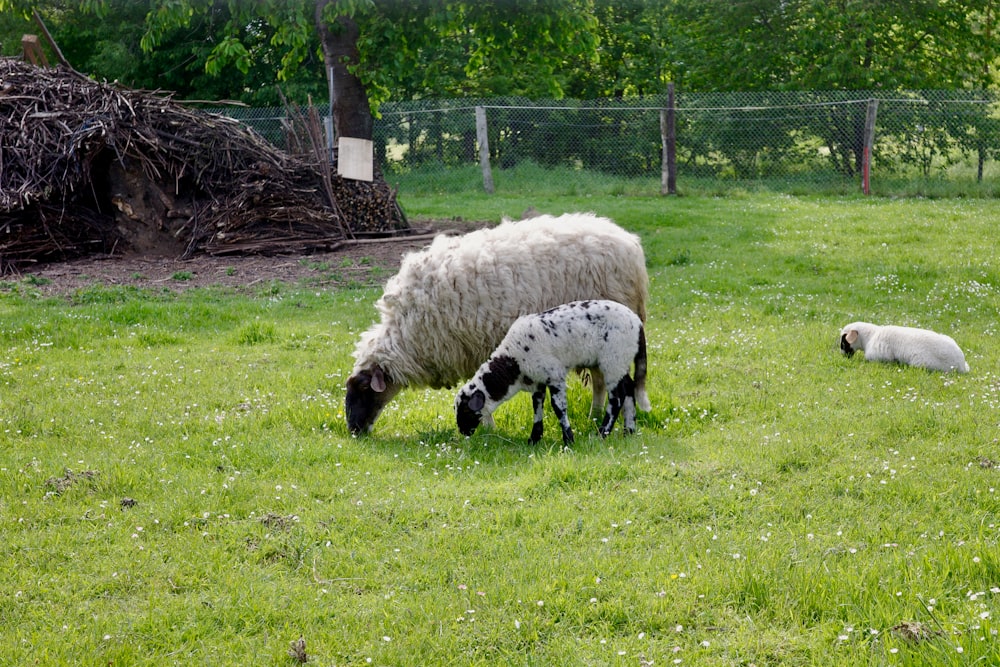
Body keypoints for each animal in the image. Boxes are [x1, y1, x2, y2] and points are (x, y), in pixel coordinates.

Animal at [456, 300, 648, 446]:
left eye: (465, 409)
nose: (462, 432)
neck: (513, 362)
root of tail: (637, 323)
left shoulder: (555, 376)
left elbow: (558, 408)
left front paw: (568, 440)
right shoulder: (538, 380)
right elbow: (537, 406)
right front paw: (534, 439)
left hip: (613, 360)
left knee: (617, 398)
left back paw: (602, 433)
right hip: (621, 361)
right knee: (629, 388)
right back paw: (629, 431)